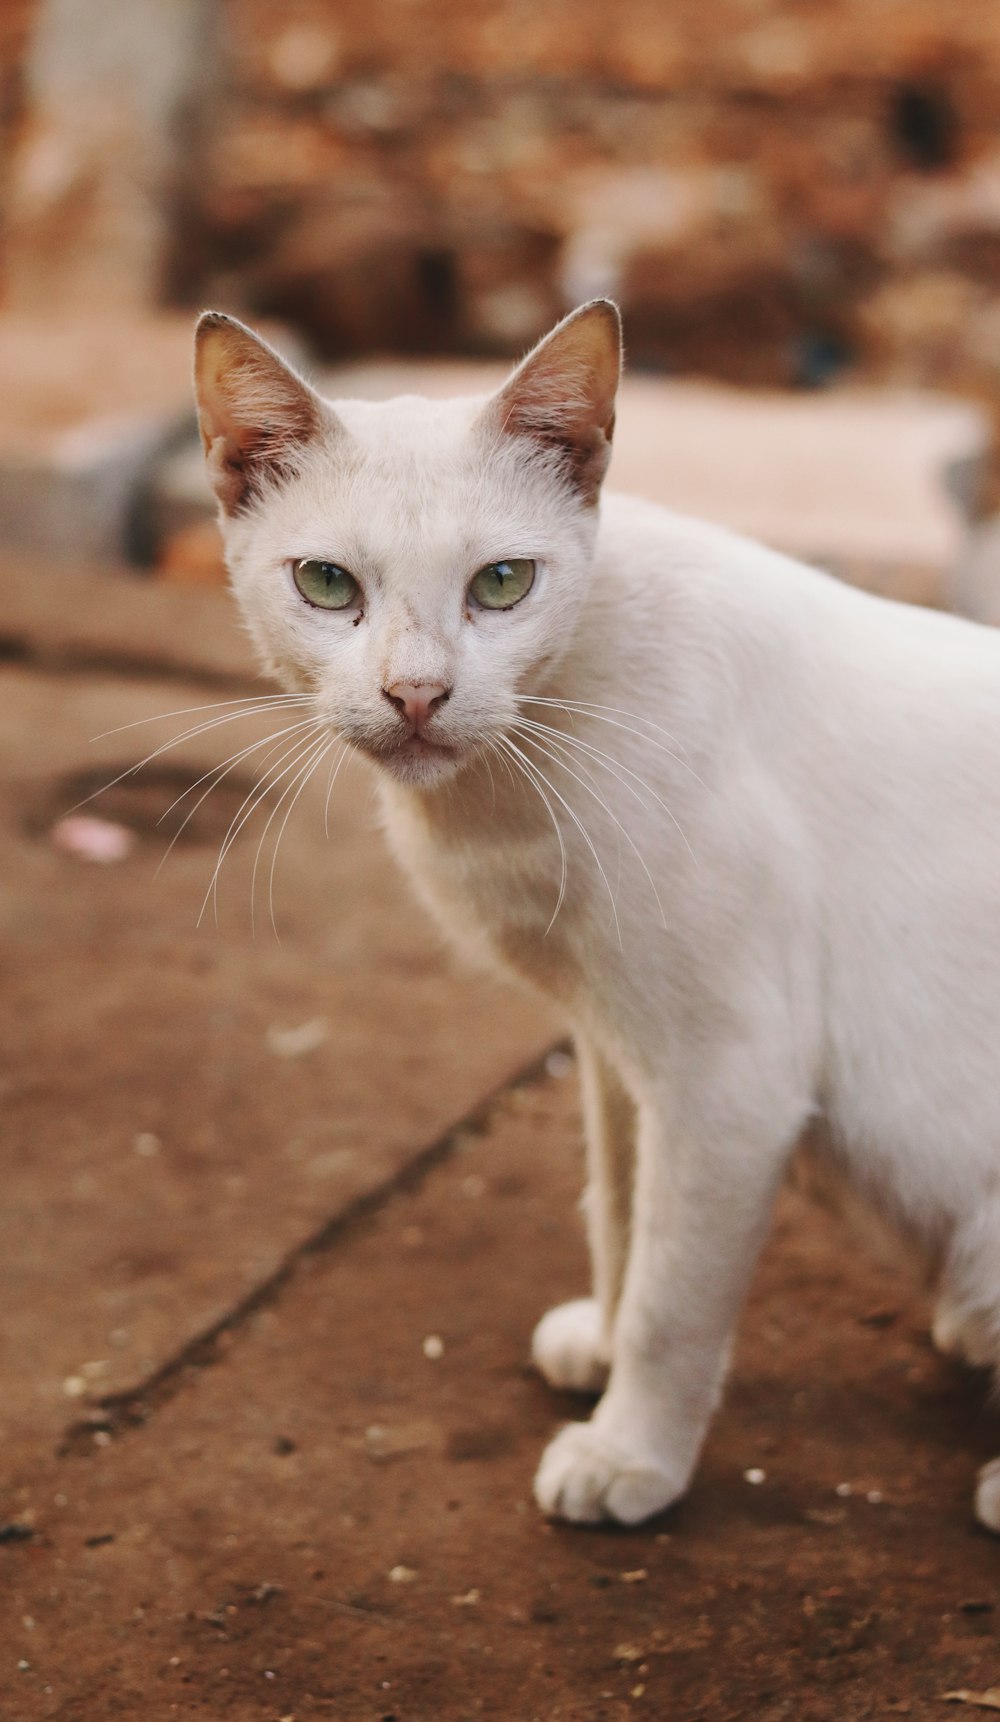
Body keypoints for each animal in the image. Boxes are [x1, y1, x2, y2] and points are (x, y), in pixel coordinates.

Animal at [192, 303, 998, 1529]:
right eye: (327, 584)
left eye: (502, 583)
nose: (416, 694)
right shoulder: (617, 1051)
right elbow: (622, 1221)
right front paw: (603, 1352)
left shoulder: (727, 1081)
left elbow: (676, 1299)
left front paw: (631, 1457)